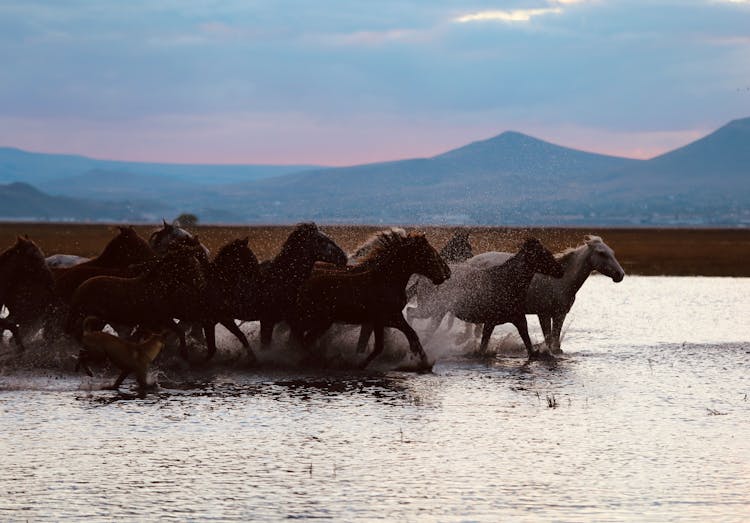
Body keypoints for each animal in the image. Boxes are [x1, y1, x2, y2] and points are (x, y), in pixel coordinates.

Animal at [290, 230, 450, 372]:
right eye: (428, 253)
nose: (446, 273)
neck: (387, 280)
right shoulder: (382, 318)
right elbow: (380, 346)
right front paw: (359, 365)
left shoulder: (390, 318)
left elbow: (412, 335)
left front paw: (425, 363)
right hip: (317, 319)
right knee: (303, 339)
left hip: (321, 321)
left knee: (303, 339)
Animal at [412, 241, 564, 360]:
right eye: (544, 254)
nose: (560, 270)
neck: (510, 282)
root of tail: (421, 279)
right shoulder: (491, 320)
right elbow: (483, 346)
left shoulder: (517, 318)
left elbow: (526, 340)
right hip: (431, 308)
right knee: (410, 312)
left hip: (437, 312)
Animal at [468, 236, 624, 352]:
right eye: (601, 253)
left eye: (612, 252)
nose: (620, 275)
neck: (560, 281)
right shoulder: (543, 313)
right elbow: (549, 341)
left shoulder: (560, 314)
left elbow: (555, 342)